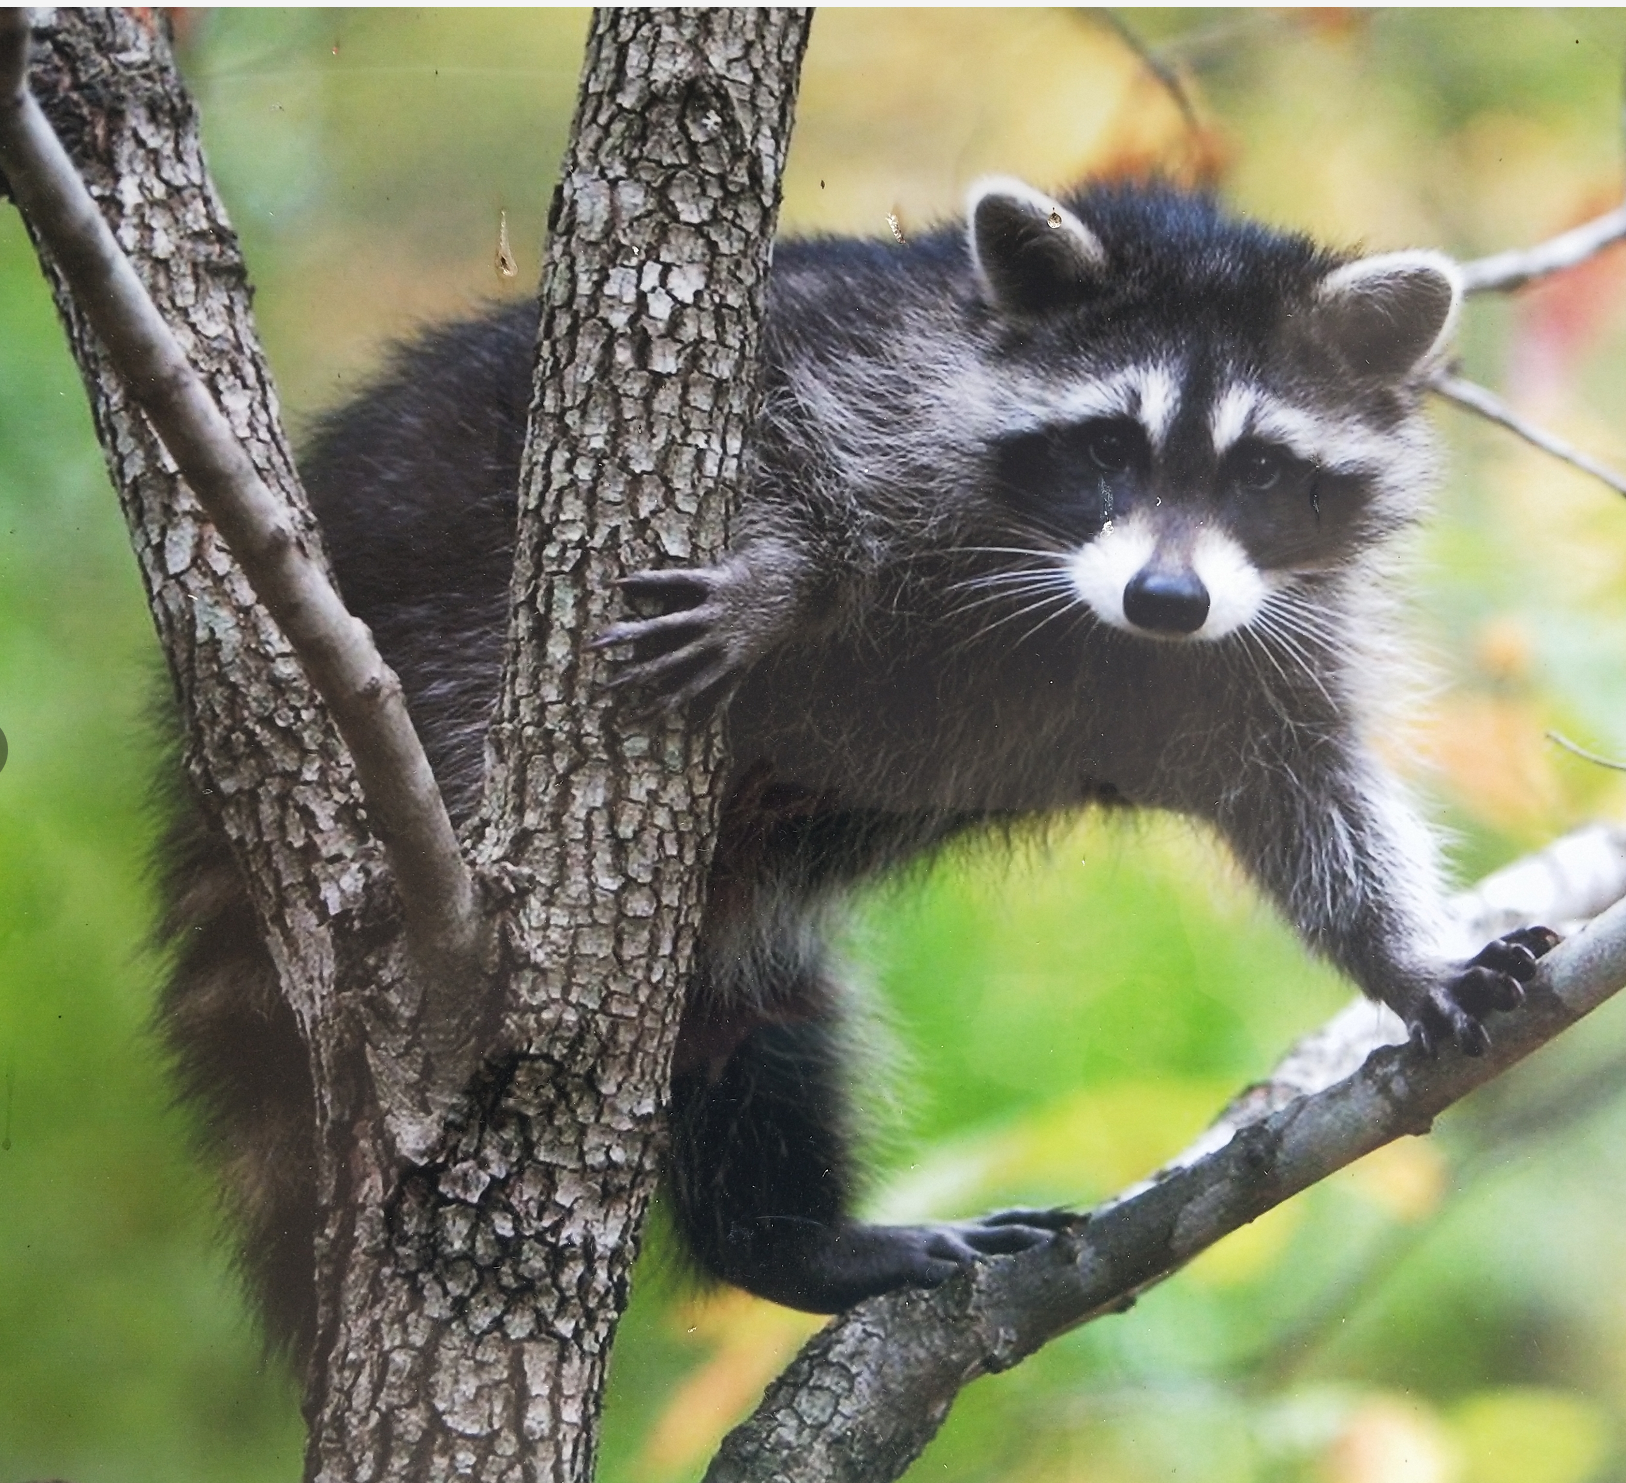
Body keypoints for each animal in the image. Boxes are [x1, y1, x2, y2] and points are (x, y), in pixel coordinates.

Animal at [158, 179, 1554, 1359]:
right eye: (1109, 447)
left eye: (1262, 470)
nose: (1167, 598)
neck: (1081, 606)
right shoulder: (872, 376)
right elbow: (792, 449)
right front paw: (777, 579)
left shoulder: (1251, 638)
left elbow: (1307, 795)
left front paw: (1406, 953)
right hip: (441, 629)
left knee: (755, 1025)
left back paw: (783, 1233)